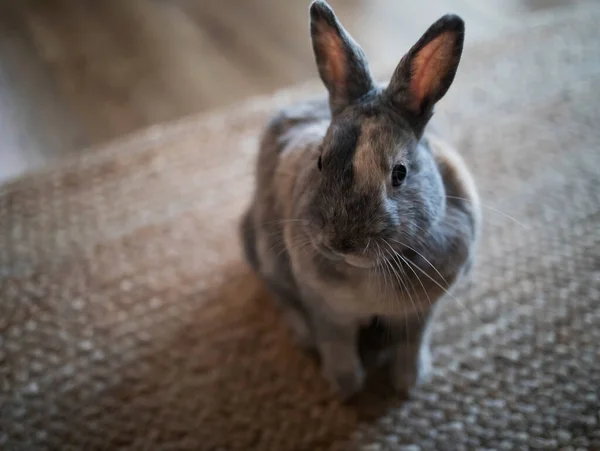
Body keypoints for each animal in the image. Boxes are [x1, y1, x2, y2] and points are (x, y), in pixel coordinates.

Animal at [241, 0, 480, 402]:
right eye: (320, 161)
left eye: (399, 173)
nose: (342, 243)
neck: (369, 272)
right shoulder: (326, 310)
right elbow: (337, 346)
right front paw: (346, 387)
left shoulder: (420, 313)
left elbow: (411, 344)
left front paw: (407, 383)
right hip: (264, 251)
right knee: (279, 294)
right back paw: (303, 336)